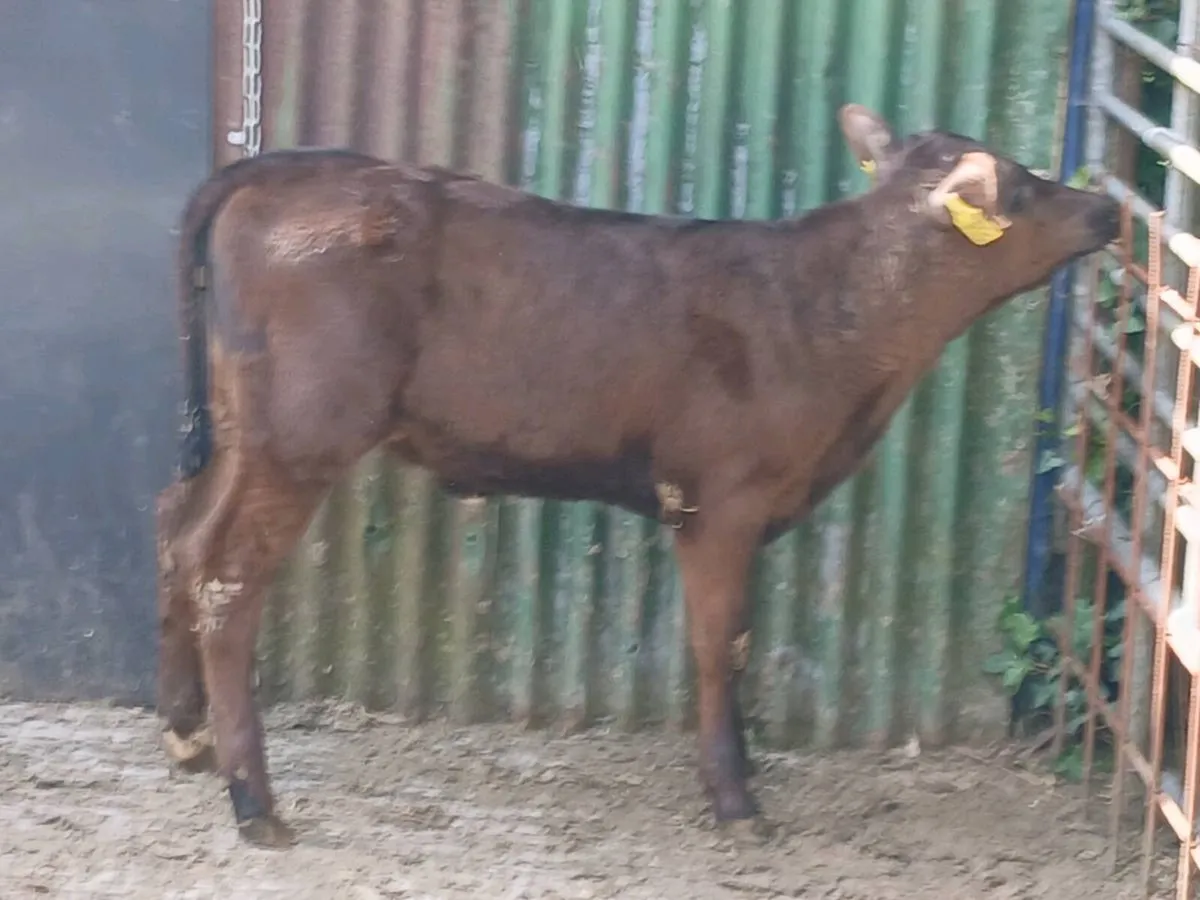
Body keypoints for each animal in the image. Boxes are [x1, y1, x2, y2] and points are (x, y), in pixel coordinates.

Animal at [154, 103, 1121, 847]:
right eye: (1022, 186)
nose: (1107, 205)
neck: (837, 314)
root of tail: (282, 173)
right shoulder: (722, 498)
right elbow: (718, 643)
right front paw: (736, 800)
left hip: (245, 431)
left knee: (181, 529)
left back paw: (188, 736)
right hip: (303, 435)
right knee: (229, 577)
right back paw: (254, 803)